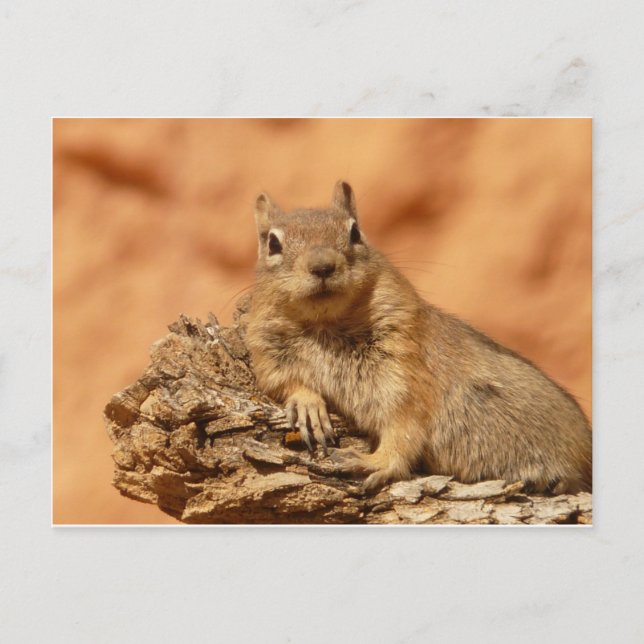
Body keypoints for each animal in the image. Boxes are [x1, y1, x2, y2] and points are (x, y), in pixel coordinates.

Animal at [245, 180, 592, 494]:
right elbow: (284, 382)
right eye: (272, 243)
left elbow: (404, 429)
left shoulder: (405, 373)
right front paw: (308, 404)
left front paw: (373, 462)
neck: (326, 325)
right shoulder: (268, 353)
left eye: (355, 232)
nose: (322, 266)